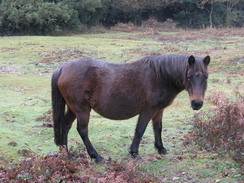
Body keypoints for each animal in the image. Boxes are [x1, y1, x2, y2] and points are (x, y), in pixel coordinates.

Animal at [51, 53, 210, 162]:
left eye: (206, 77)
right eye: (189, 76)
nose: (197, 103)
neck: (160, 76)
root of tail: (63, 67)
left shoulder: (158, 110)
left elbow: (157, 128)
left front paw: (161, 148)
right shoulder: (148, 110)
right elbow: (140, 130)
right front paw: (134, 152)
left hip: (73, 108)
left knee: (65, 126)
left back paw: (67, 154)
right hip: (82, 109)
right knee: (82, 130)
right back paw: (96, 156)